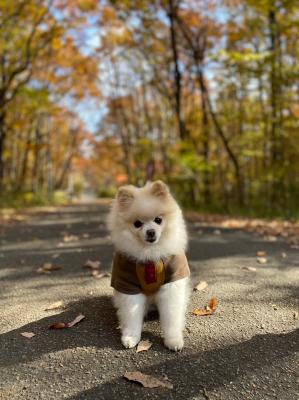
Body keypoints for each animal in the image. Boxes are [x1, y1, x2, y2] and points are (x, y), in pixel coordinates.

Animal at [108, 181, 190, 350]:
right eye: (137, 224)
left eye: (158, 220)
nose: (151, 231)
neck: (150, 254)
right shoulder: (128, 284)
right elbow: (131, 316)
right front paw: (131, 338)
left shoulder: (172, 282)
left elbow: (171, 316)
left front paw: (173, 340)